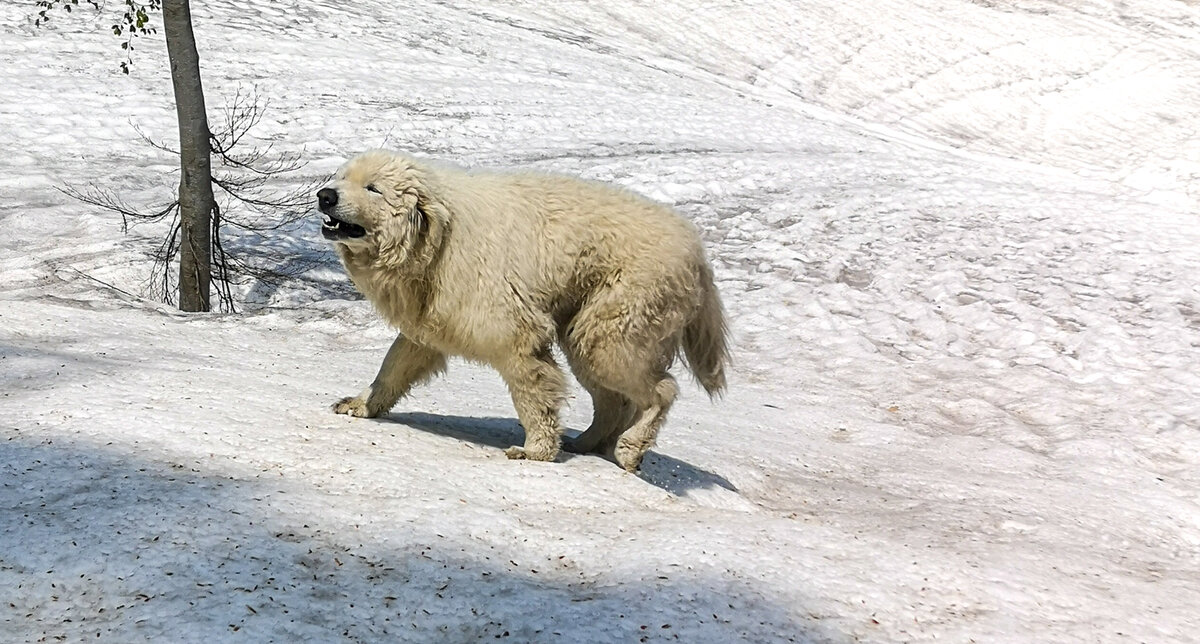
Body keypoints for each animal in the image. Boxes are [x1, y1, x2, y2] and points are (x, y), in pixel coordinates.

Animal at [319, 151, 724, 472]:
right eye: (342, 175)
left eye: (373, 188)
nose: (325, 195)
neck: (437, 238)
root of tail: (698, 253)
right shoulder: (435, 305)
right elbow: (402, 358)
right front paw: (358, 404)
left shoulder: (496, 304)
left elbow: (529, 374)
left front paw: (535, 450)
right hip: (590, 312)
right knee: (606, 385)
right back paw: (586, 441)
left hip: (625, 299)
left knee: (644, 378)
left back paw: (630, 448)